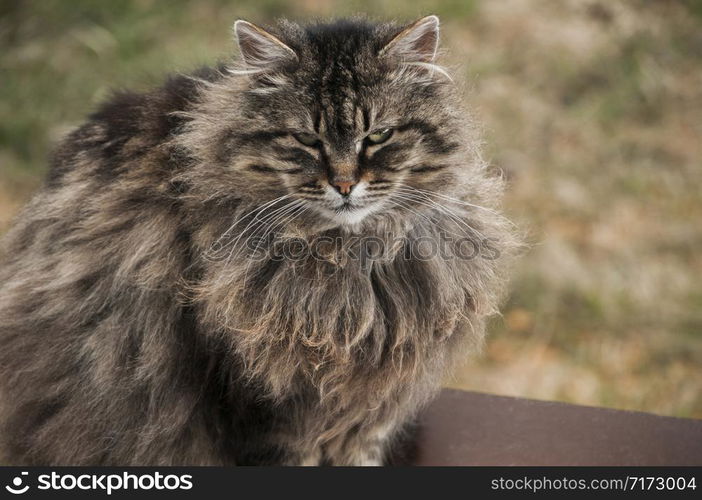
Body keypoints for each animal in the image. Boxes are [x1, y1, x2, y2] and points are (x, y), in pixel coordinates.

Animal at [0, 16, 516, 468]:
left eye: (380, 136)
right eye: (306, 140)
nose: (344, 184)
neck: (352, 263)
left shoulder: (369, 408)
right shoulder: (263, 403)